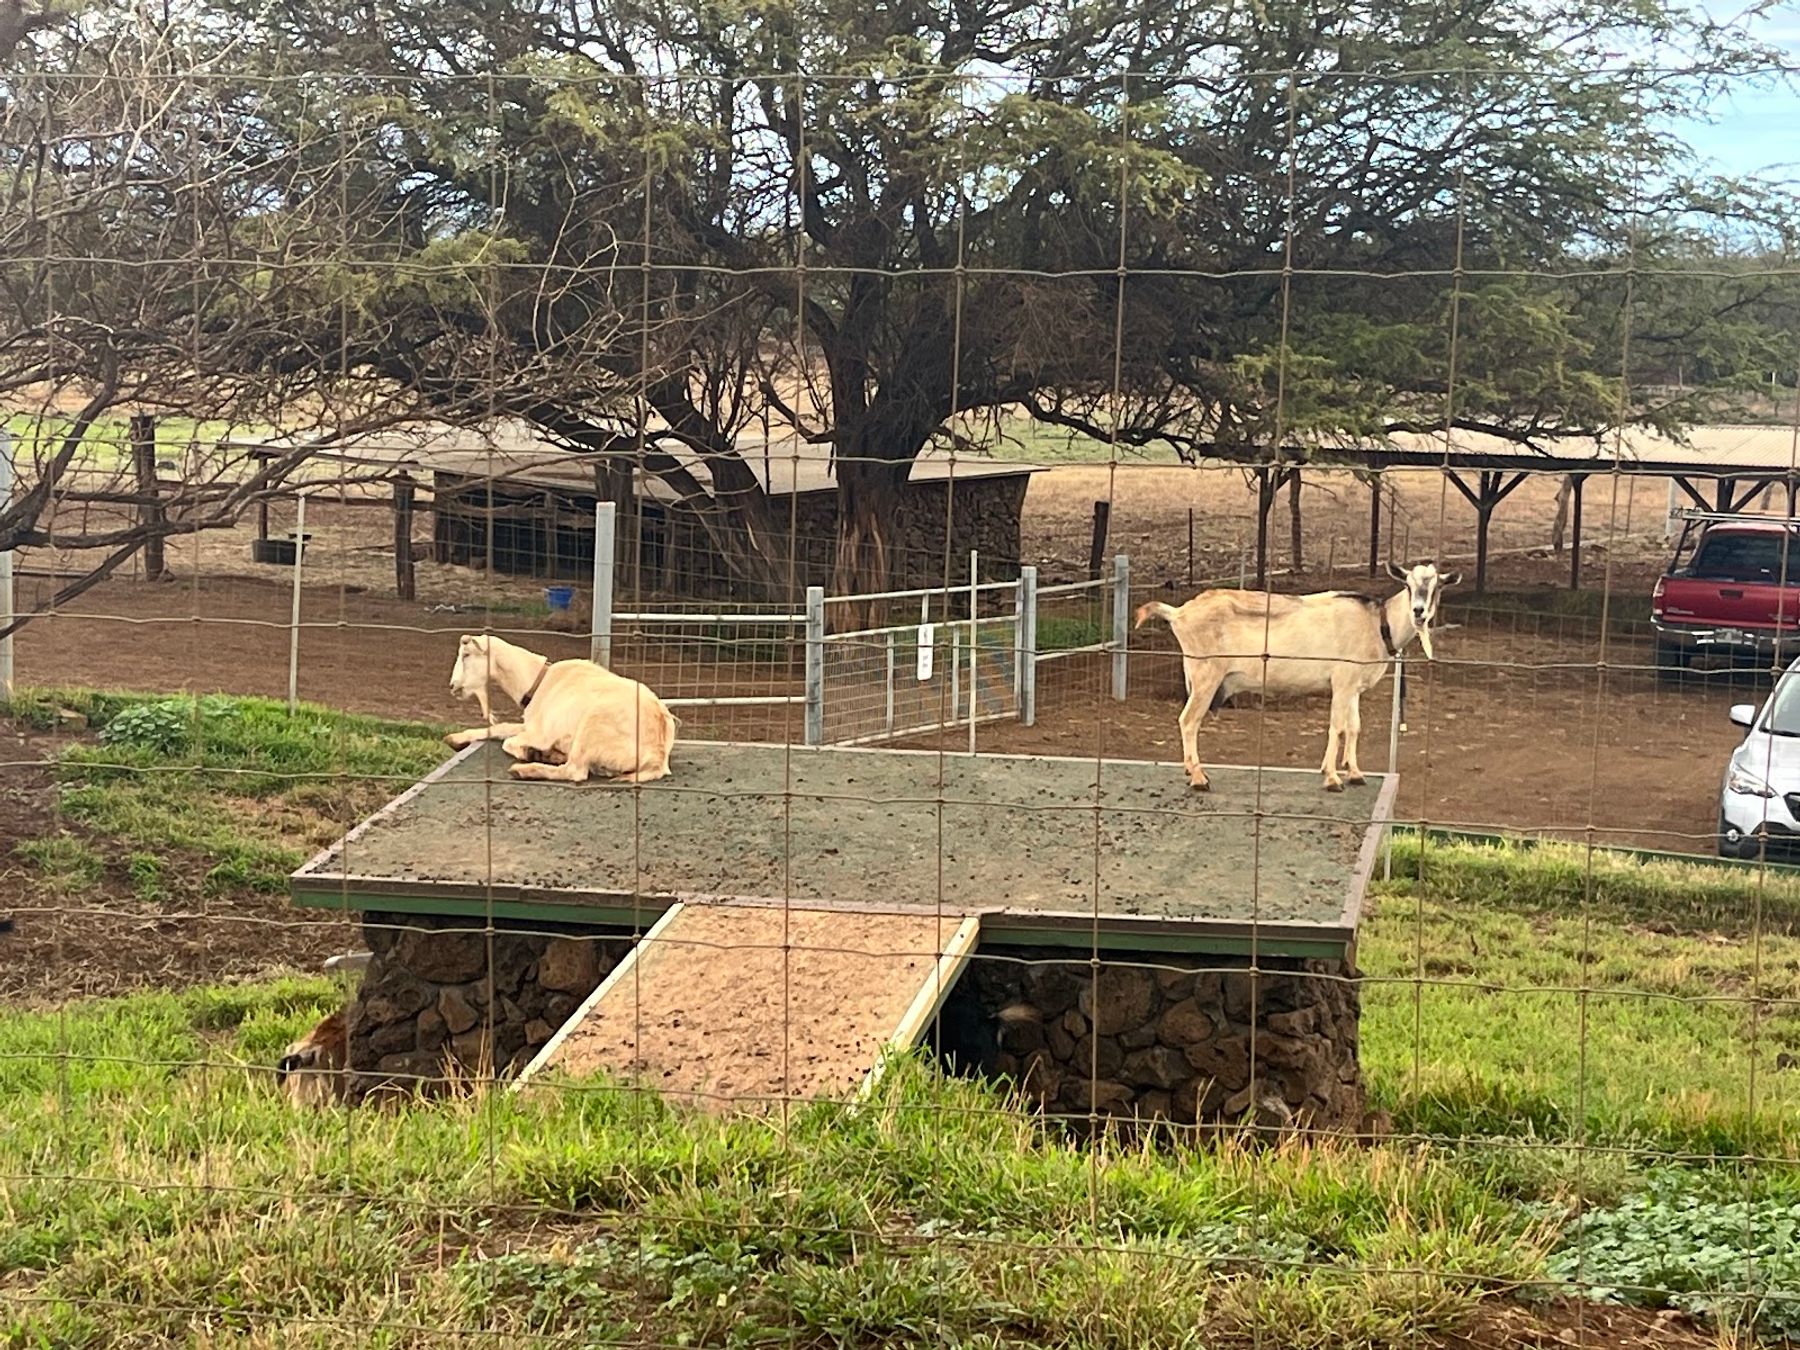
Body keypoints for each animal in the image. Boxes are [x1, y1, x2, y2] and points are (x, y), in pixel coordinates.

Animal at [1133, 561, 1458, 792]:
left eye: (1437, 587)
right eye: (1408, 584)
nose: (1418, 612)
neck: (1377, 623)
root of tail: (1178, 613)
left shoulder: (1353, 688)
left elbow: (1354, 727)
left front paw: (1354, 773)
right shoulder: (1342, 681)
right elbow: (1337, 727)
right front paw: (1332, 778)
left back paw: (1191, 771)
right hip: (1206, 676)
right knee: (1188, 720)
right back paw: (1200, 778)